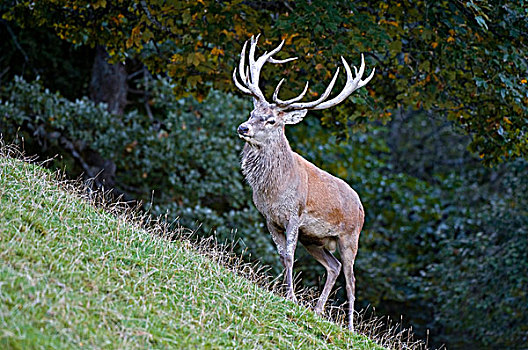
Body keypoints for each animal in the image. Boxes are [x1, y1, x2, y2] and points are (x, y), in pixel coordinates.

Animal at [232, 34, 376, 330]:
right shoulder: (269, 218)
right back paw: (318, 311)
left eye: (271, 120)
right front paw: (286, 294)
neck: (273, 189)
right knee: (333, 267)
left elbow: (289, 254)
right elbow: (282, 255)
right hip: (316, 239)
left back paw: (350, 327)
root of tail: (361, 206)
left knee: (351, 279)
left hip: (350, 237)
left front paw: (291, 298)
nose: (243, 127)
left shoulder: (294, 215)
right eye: (252, 111)